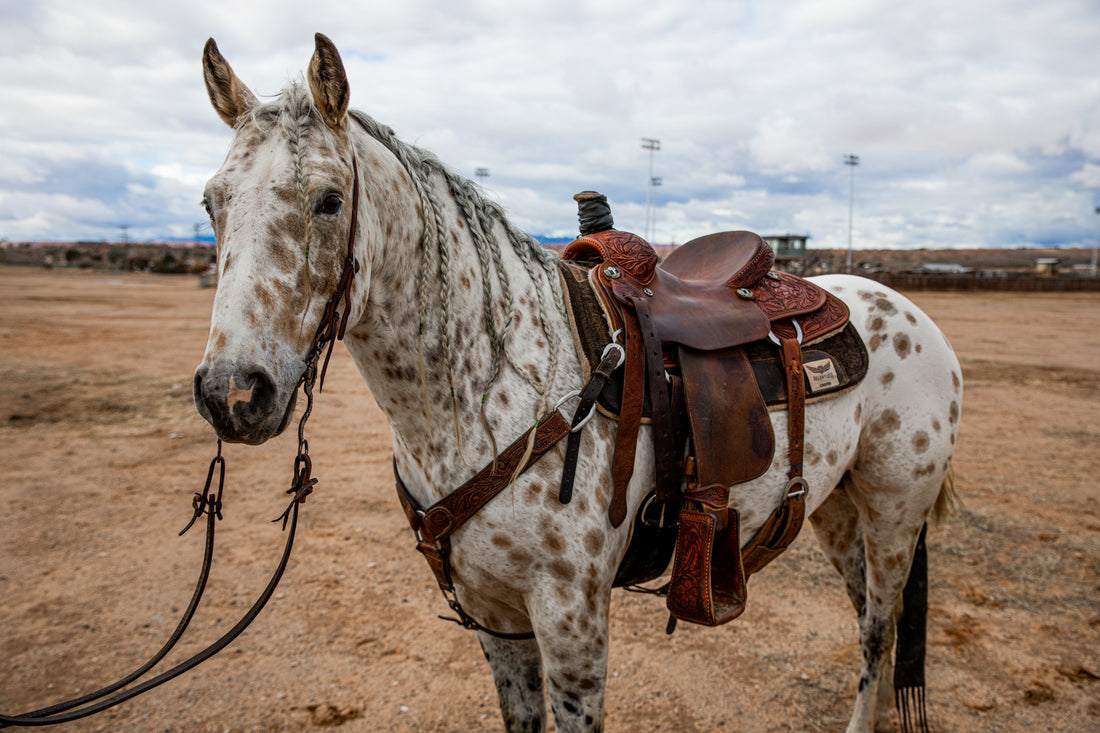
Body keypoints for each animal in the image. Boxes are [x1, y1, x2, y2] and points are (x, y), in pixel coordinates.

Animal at [195, 35, 963, 733]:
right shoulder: (494, 619)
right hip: (833, 506)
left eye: (329, 200)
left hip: (895, 512)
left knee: (879, 628)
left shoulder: (572, 623)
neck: (492, 392)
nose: (231, 393)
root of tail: (905, 308)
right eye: (210, 204)